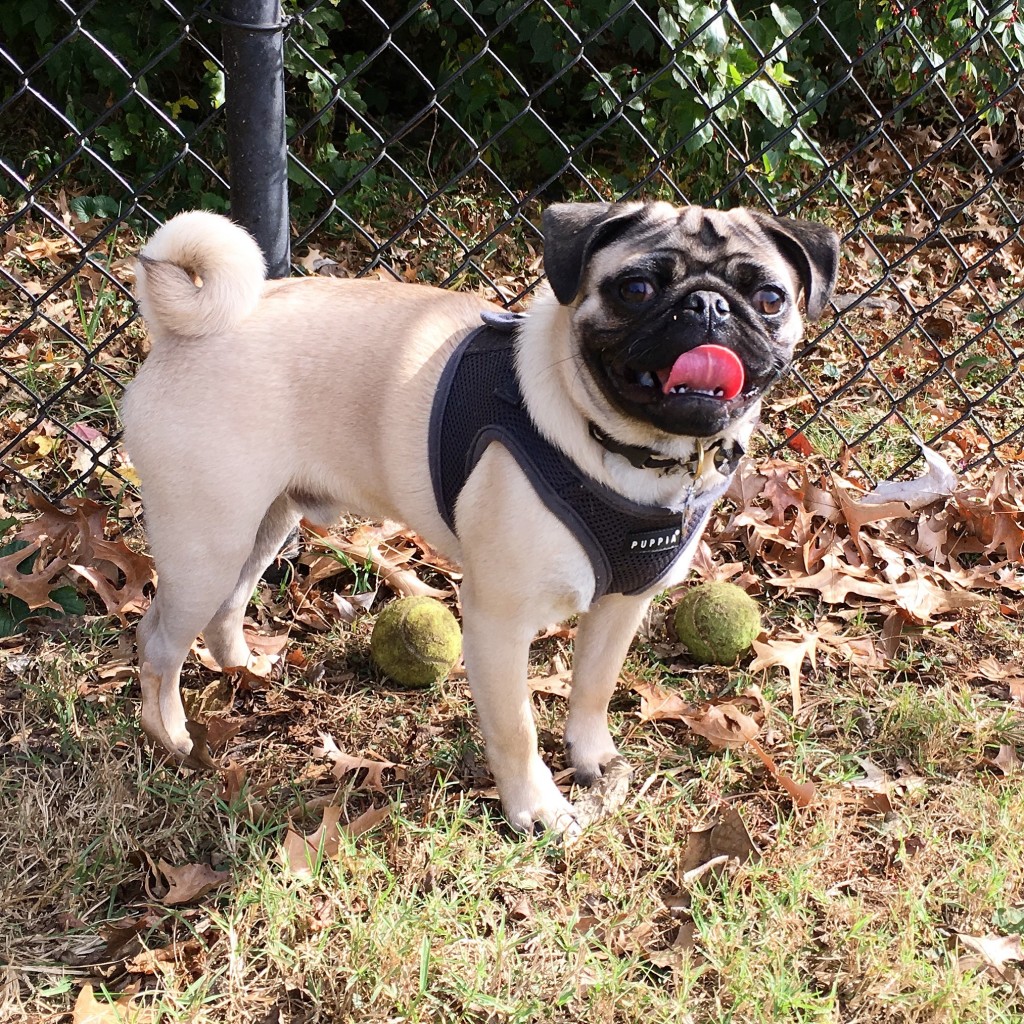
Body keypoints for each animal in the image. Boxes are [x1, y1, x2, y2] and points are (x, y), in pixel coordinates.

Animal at [123, 199, 835, 831]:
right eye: (635, 289)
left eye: (770, 299)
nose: (708, 305)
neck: (635, 453)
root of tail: (182, 329)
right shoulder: (498, 619)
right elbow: (516, 727)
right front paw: (537, 809)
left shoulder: (619, 606)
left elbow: (593, 689)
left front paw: (592, 760)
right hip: (207, 541)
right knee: (158, 640)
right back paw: (171, 737)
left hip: (266, 524)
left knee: (227, 606)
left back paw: (243, 669)